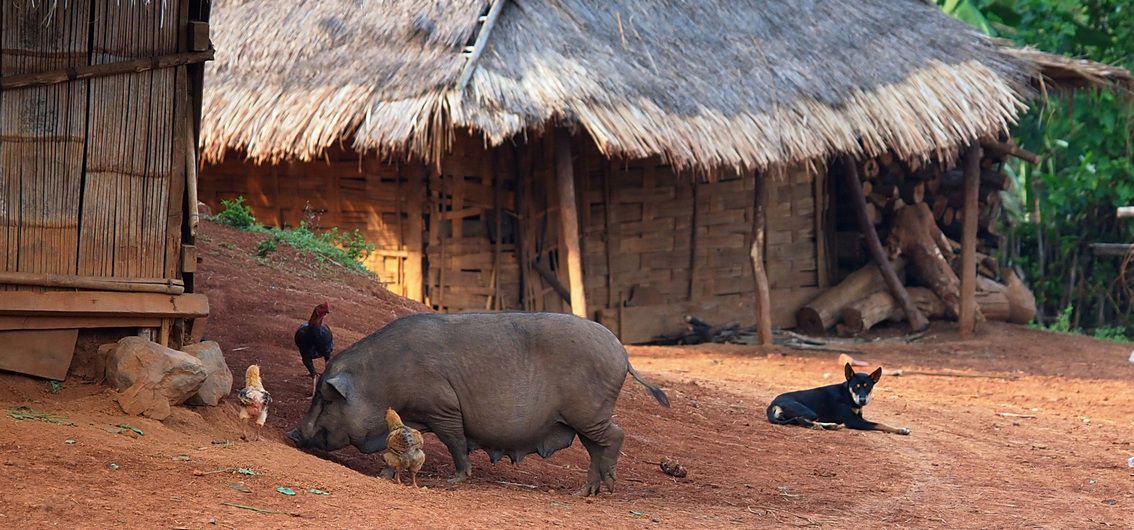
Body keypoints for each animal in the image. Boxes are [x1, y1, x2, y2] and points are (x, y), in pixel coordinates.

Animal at [288, 313, 666, 494]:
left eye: (326, 400)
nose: (293, 434)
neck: (380, 382)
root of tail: (623, 354)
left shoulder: (443, 408)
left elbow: (456, 442)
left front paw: (455, 480)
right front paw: (385, 474)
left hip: (589, 412)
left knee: (616, 436)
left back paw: (605, 487)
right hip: (582, 418)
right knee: (597, 447)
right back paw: (586, 492)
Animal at [766, 365, 907, 435]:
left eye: (868, 387)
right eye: (856, 386)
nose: (862, 400)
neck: (847, 395)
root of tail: (773, 403)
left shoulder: (859, 417)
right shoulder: (853, 421)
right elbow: (879, 424)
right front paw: (901, 430)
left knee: (798, 420)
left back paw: (832, 425)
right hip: (808, 411)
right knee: (800, 419)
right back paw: (821, 426)